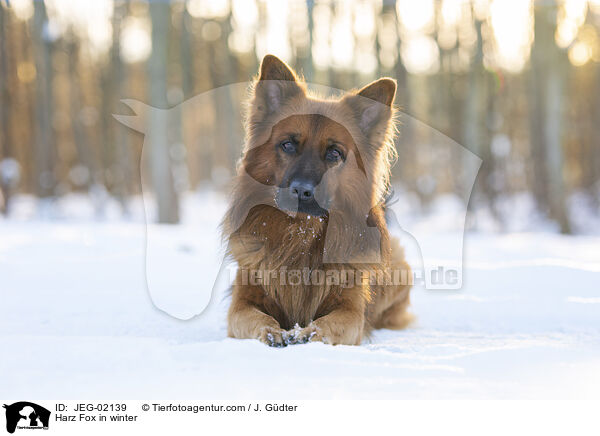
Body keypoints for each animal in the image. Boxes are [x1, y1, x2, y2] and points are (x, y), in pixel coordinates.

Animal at [221, 55, 412, 348]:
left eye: (334, 153)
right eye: (288, 145)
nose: (302, 191)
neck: (301, 235)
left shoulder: (350, 309)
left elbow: (330, 323)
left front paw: (310, 333)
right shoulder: (241, 302)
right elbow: (256, 318)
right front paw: (272, 331)